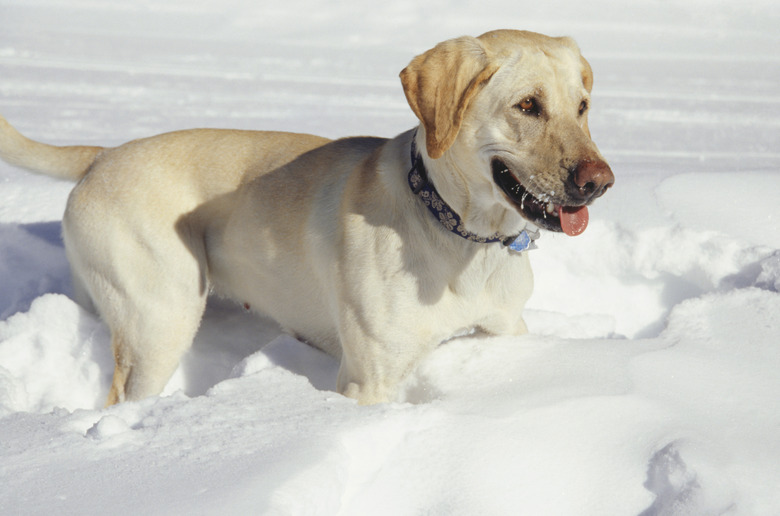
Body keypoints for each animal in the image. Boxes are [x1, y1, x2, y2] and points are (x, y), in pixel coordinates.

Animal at [0, 30, 612, 406]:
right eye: (528, 105)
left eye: (582, 106)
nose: (600, 182)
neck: (461, 235)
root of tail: (101, 153)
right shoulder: (368, 381)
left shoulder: (508, 327)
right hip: (162, 317)